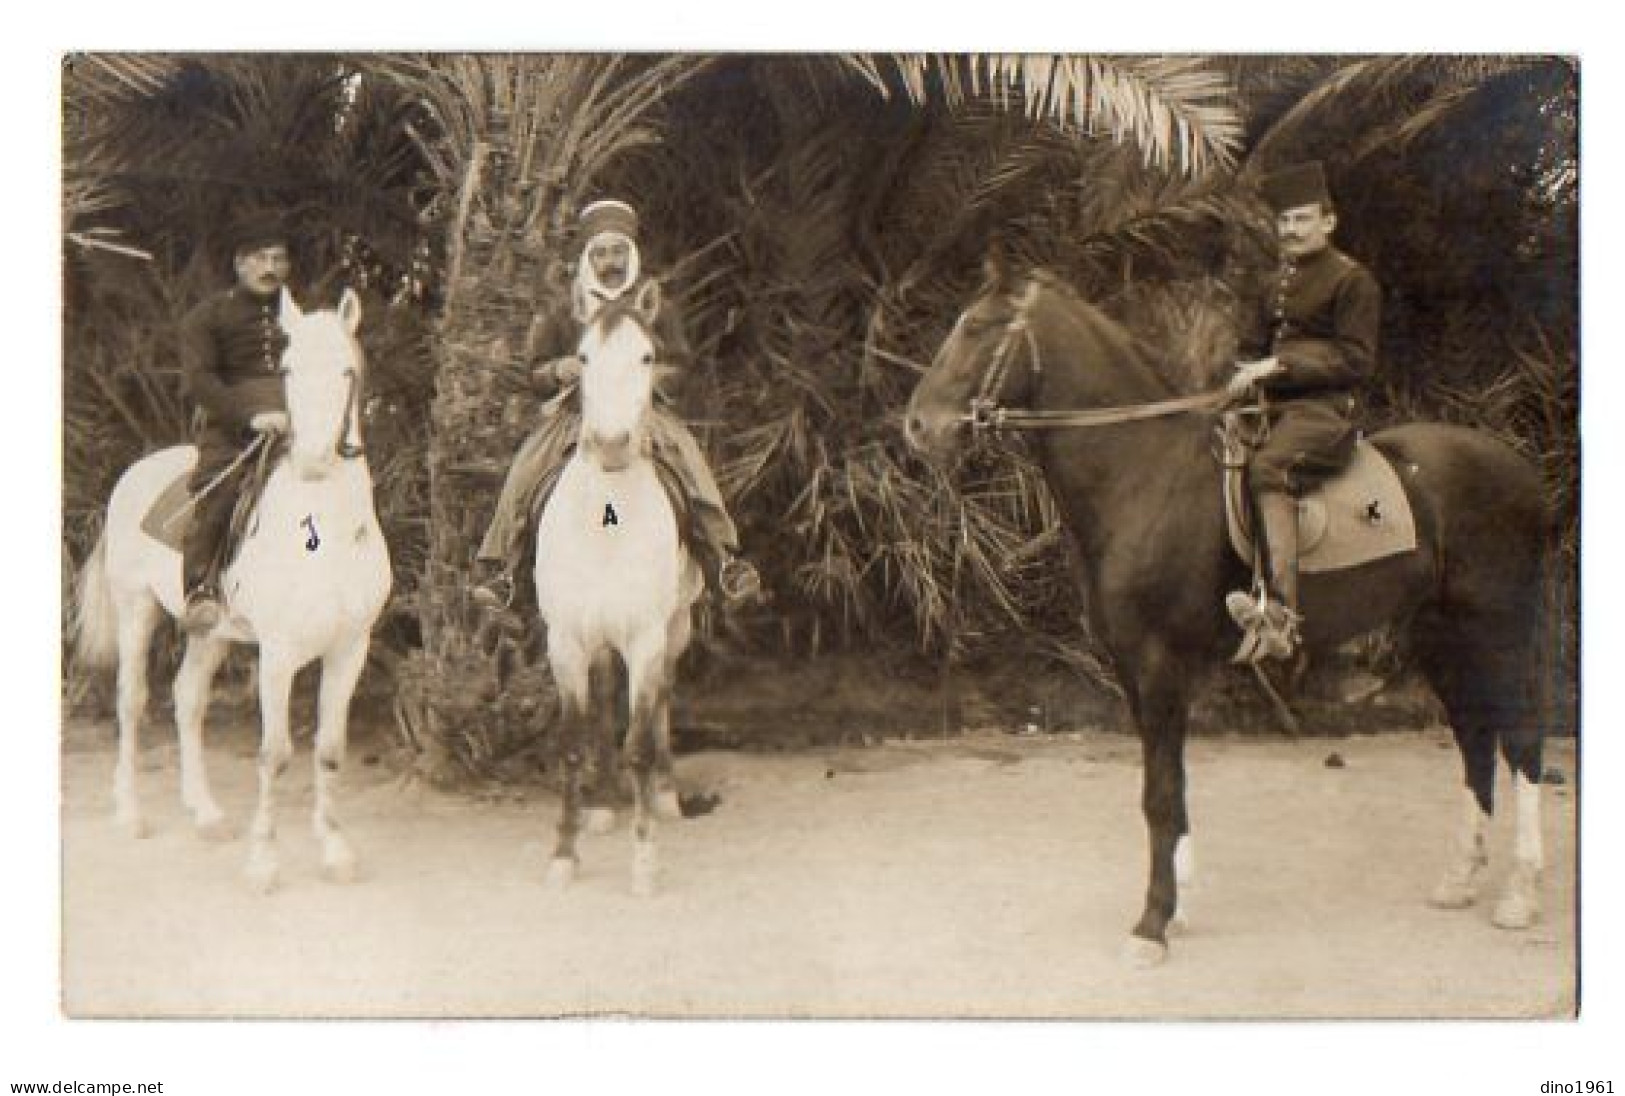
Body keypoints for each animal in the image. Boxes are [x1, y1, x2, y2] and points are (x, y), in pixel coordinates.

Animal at [76, 287, 393, 884]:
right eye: (288, 370)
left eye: (346, 371)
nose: (313, 462)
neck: (325, 534)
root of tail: (136, 472)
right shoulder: (278, 654)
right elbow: (275, 754)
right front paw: (264, 861)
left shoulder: (349, 648)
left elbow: (329, 749)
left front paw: (335, 850)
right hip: (136, 610)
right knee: (132, 701)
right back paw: (130, 813)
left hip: (211, 632)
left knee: (187, 700)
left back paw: (204, 814)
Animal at [533, 278, 705, 891]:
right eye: (582, 358)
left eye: (648, 358)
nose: (610, 444)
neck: (606, 520)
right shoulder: (565, 641)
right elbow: (570, 744)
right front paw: (563, 852)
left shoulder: (647, 637)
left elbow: (638, 746)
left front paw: (645, 860)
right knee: (607, 702)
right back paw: (606, 803)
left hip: (676, 627)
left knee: (664, 701)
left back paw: (667, 794)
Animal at [903, 265, 1547, 962]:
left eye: (976, 328)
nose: (918, 425)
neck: (1143, 471)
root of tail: (1522, 470)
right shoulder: (1135, 669)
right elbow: (1172, 787)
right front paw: (1178, 909)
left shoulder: (1159, 664)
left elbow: (1159, 794)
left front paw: (1152, 925)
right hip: (1440, 635)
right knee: (1475, 737)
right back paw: (1460, 879)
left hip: (1498, 631)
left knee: (1521, 741)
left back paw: (1520, 896)